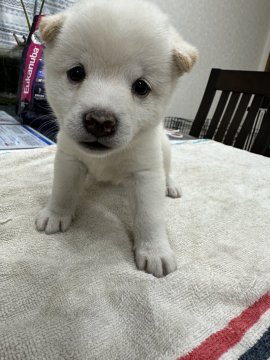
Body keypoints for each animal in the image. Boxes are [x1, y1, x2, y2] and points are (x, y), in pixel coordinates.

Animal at [34, 0, 197, 278]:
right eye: (76, 73)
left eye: (141, 87)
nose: (100, 121)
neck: (106, 158)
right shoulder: (69, 159)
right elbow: (63, 191)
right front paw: (55, 214)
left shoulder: (145, 173)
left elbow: (149, 216)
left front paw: (154, 250)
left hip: (164, 149)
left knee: (167, 169)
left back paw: (170, 185)